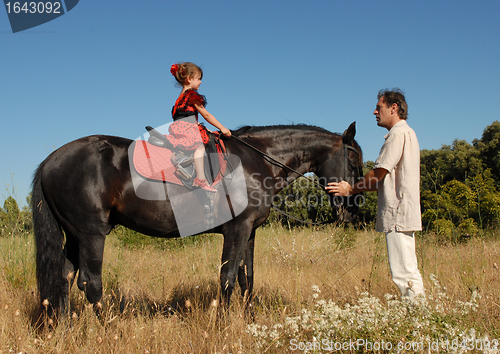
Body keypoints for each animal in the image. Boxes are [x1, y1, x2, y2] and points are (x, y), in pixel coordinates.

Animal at [31, 122, 362, 316]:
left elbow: (247, 280)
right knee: (91, 283)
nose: (352, 209)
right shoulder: (236, 230)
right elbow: (228, 279)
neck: (256, 163)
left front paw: (248, 321)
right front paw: (223, 324)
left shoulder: (250, 232)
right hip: (91, 234)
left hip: (74, 235)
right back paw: (109, 330)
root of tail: (51, 161)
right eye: (354, 160)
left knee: (63, 278)